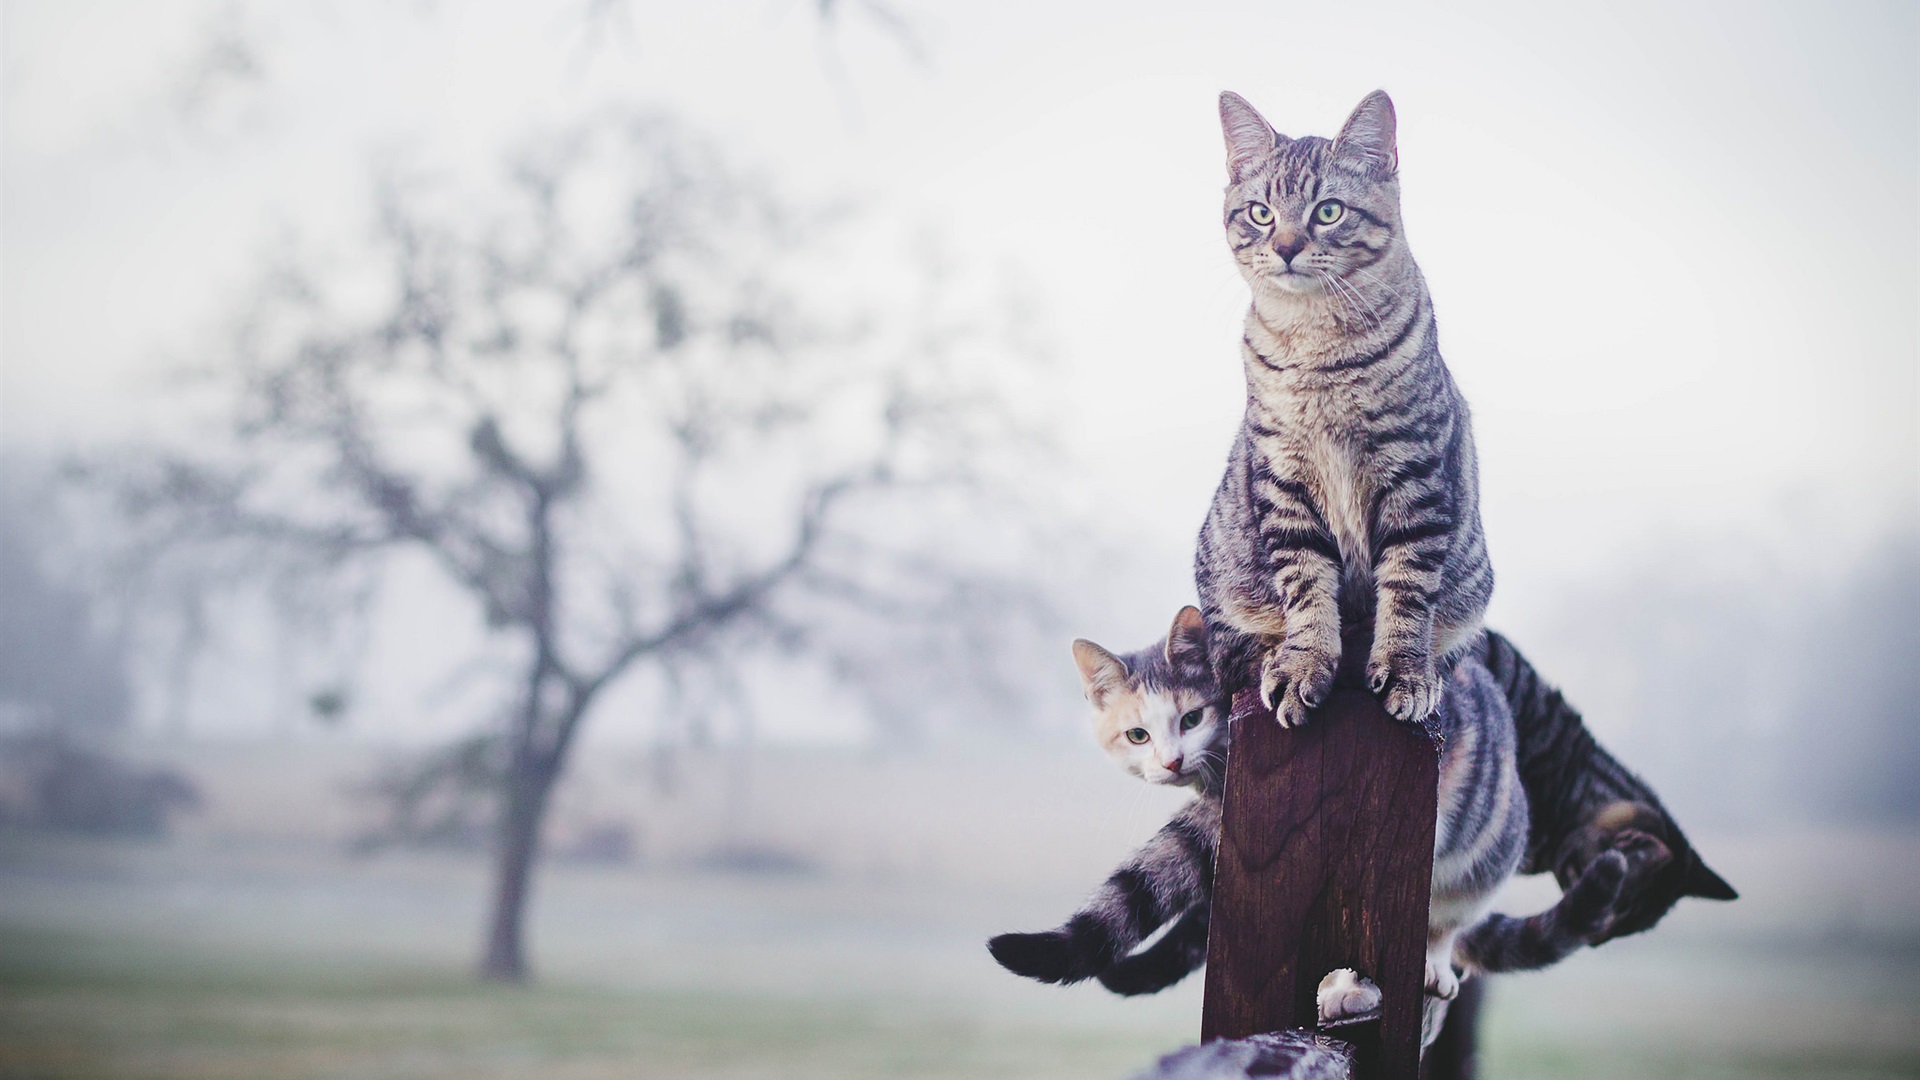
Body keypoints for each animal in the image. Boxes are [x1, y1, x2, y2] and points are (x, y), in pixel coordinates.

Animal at [1190, 90, 1489, 722]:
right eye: (1261, 213)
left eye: (1328, 211)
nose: (1284, 247)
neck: (1318, 348)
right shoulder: (1283, 479)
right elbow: (1305, 586)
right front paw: (1303, 663)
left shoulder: (1415, 473)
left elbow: (1407, 588)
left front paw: (1404, 669)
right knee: (1232, 653)